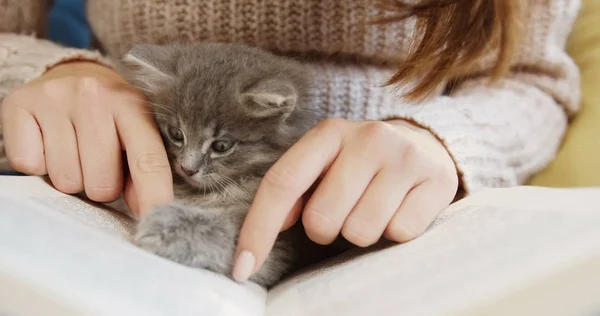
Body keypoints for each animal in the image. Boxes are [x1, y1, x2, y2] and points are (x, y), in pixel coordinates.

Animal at [118, 42, 342, 288]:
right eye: (176, 134)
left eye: (222, 146)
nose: (188, 168)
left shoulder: (276, 245)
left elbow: (224, 231)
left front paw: (169, 227)